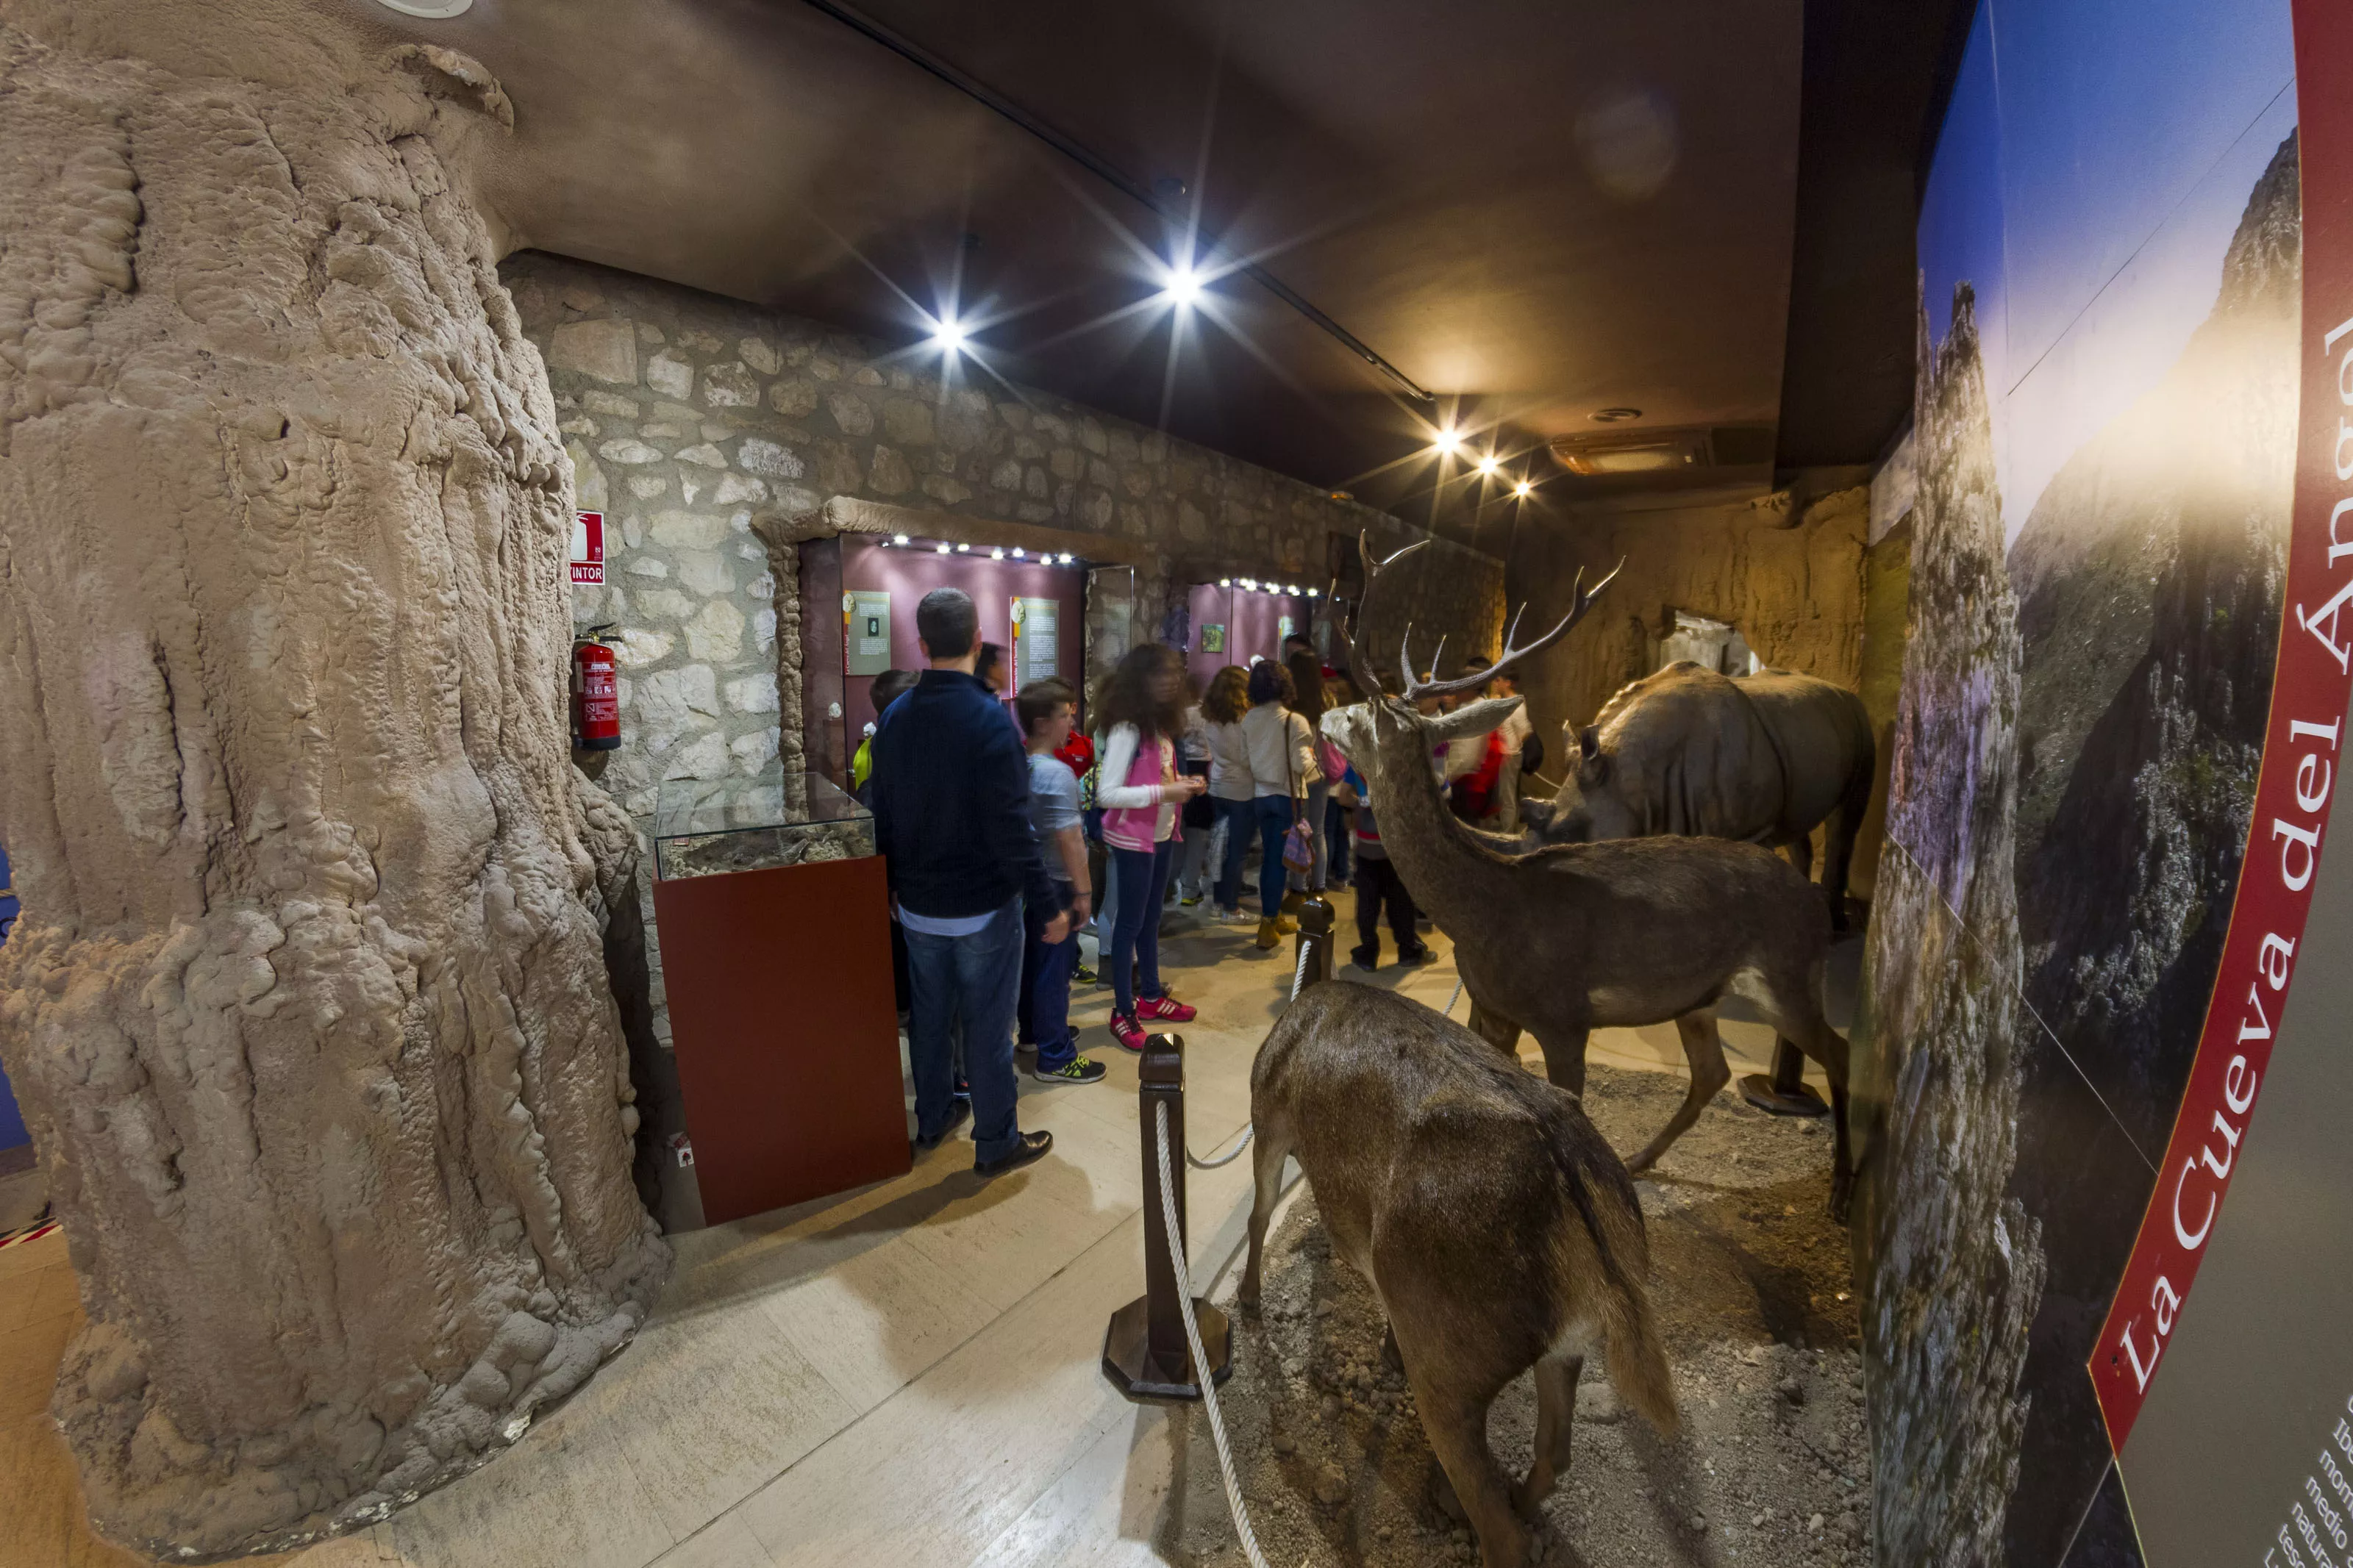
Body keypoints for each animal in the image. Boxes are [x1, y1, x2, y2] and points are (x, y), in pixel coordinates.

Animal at [1242, 982, 1685, 1568]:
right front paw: (1388, 1351)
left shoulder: (1267, 1113)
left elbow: (1260, 1213)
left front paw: (1247, 1301)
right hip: (1562, 1348)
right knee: (1554, 1453)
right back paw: (1518, 1496)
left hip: (1447, 1369)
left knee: (1502, 1530)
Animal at [1327, 540, 1854, 1213]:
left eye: (1361, 714)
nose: (1326, 713)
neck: (1484, 909)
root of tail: (1814, 905)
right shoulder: (1493, 1008)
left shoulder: (1564, 1016)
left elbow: (1570, 1106)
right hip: (1698, 995)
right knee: (1712, 1071)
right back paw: (1641, 1160)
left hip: (1788, 977)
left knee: (1838, 1051)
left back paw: (1841, 1191)